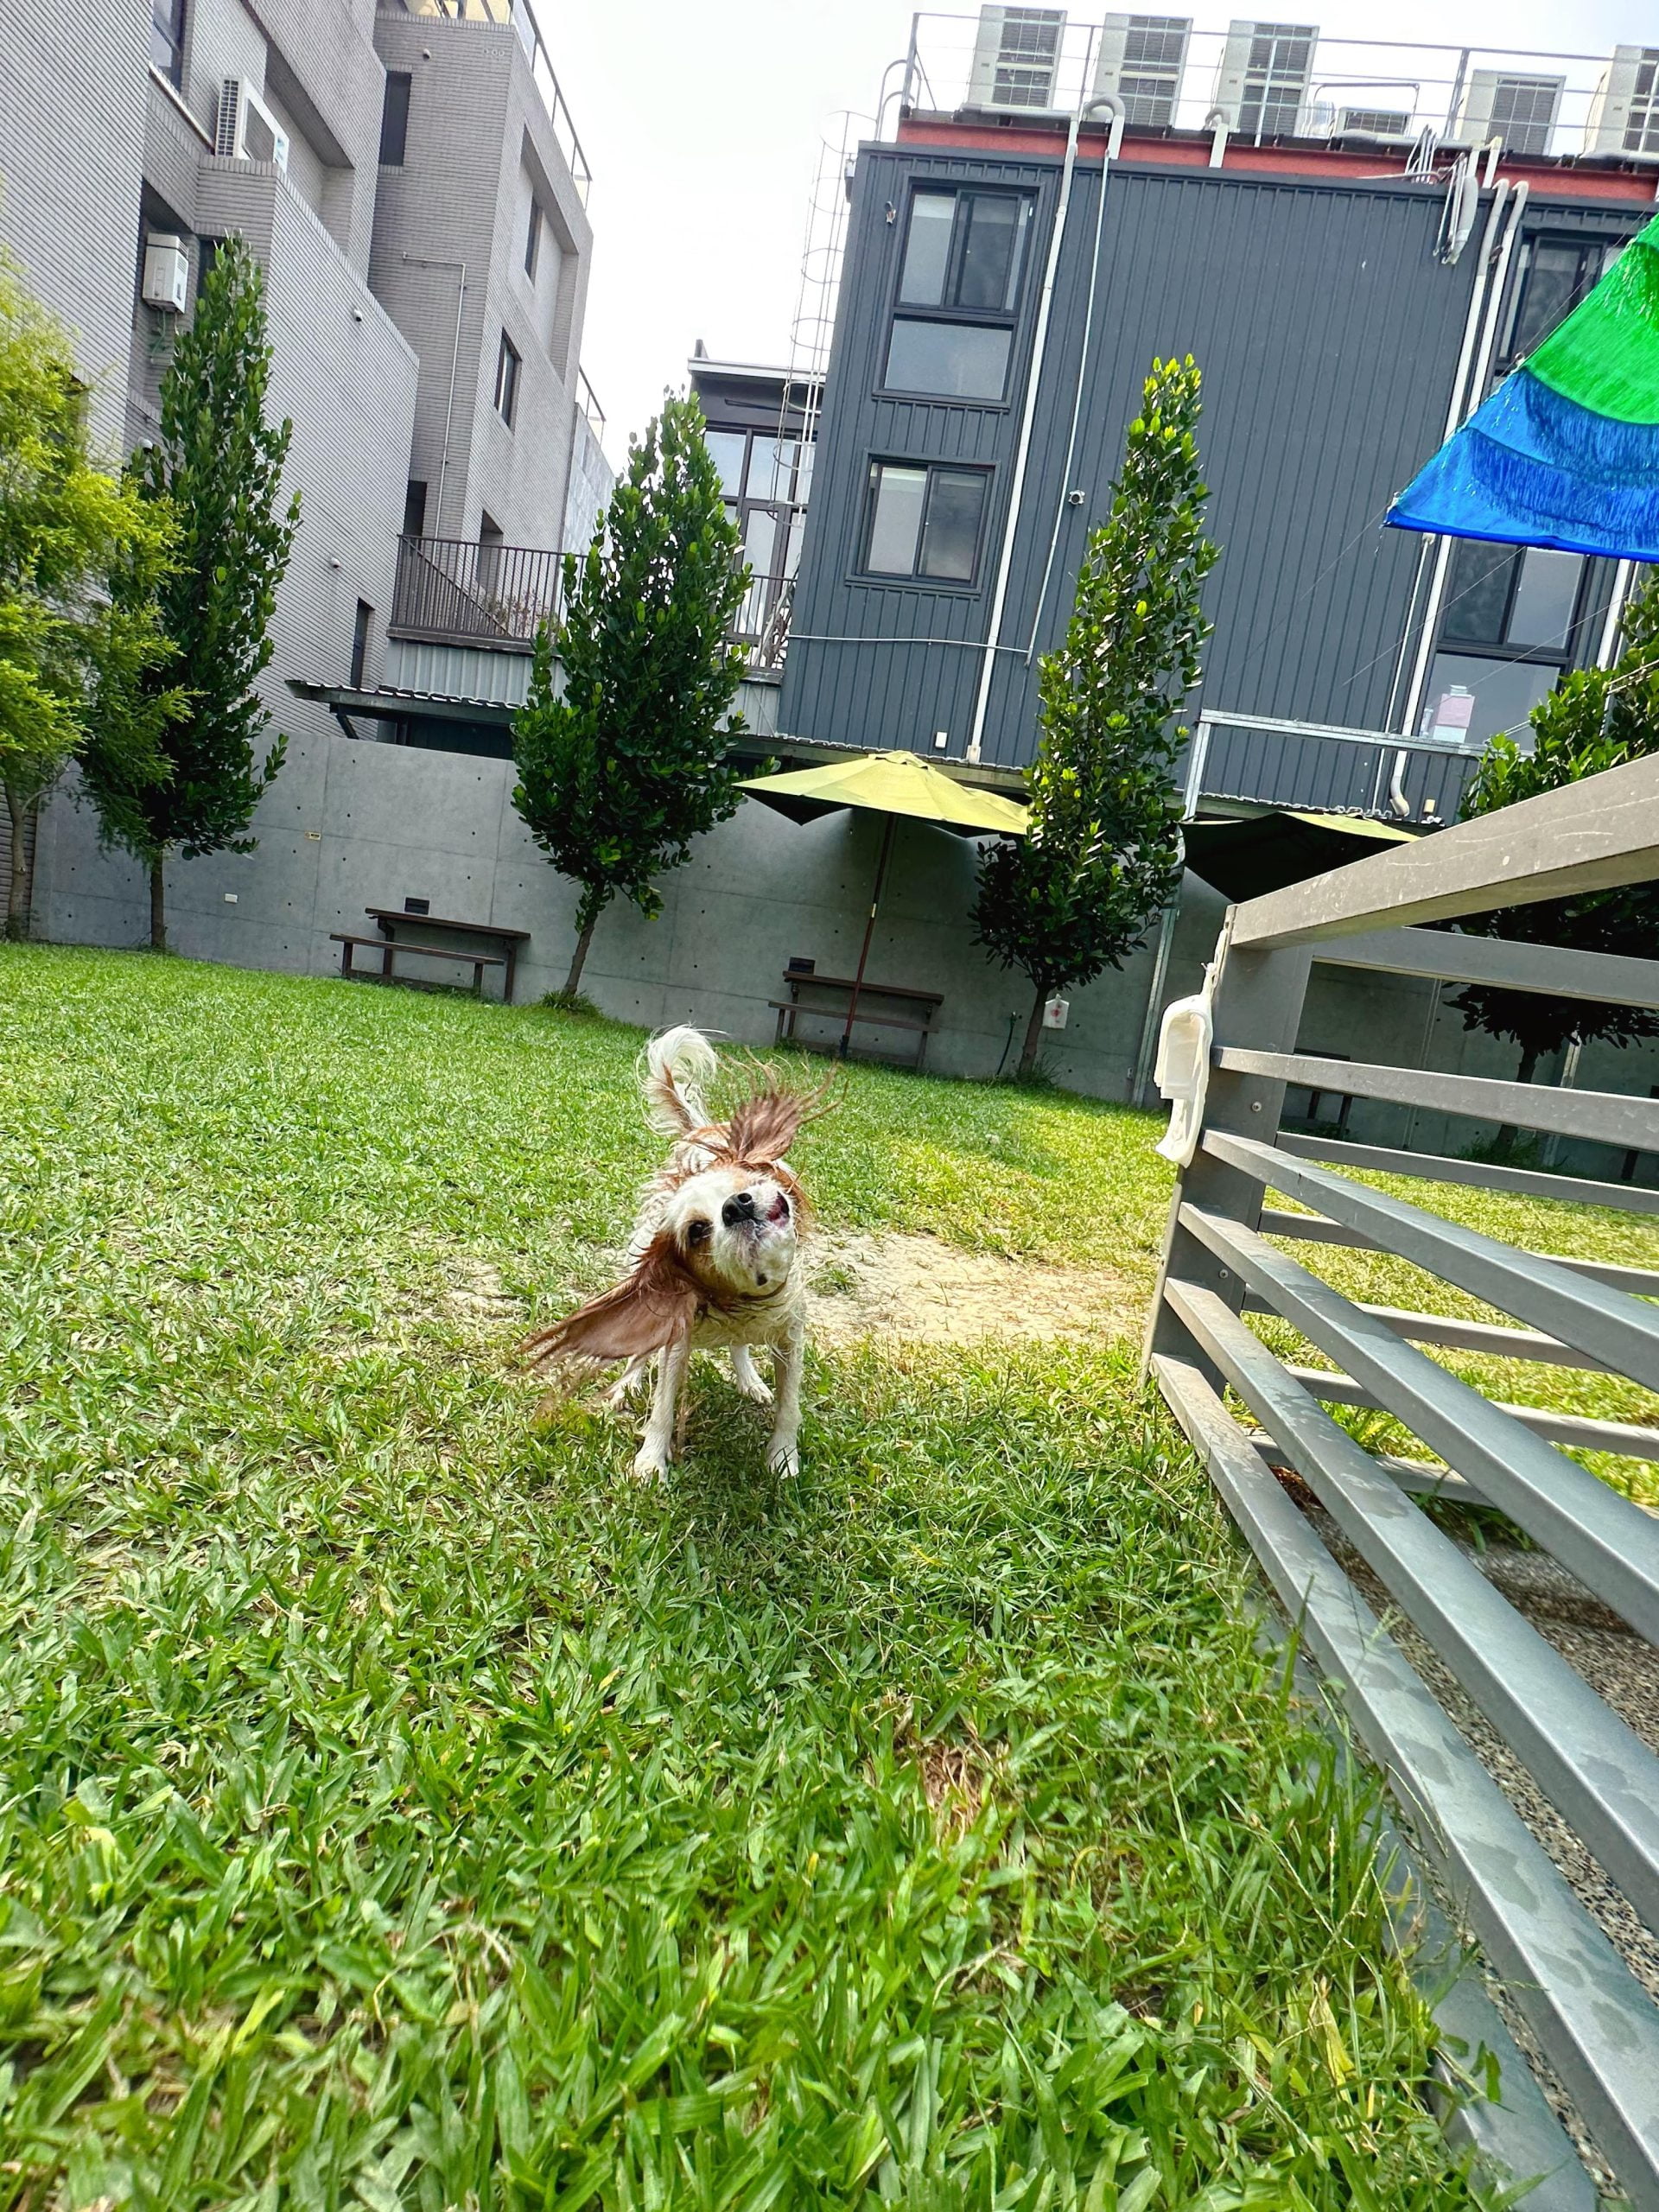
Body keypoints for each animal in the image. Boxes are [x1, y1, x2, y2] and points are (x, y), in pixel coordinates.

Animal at [526, 1026, 827, 1478]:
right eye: (697, 1230)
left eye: (744, 1180)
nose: (736, 1205)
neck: (743, 1302)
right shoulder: (675, 1333)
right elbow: (662, 1406)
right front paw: (651, 1462)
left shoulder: (791, 1335)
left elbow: (788, 1406)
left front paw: (783, 1457)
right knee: (638, 1354)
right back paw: (627, 1386)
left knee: (739, 1348)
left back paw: (749, 1380)